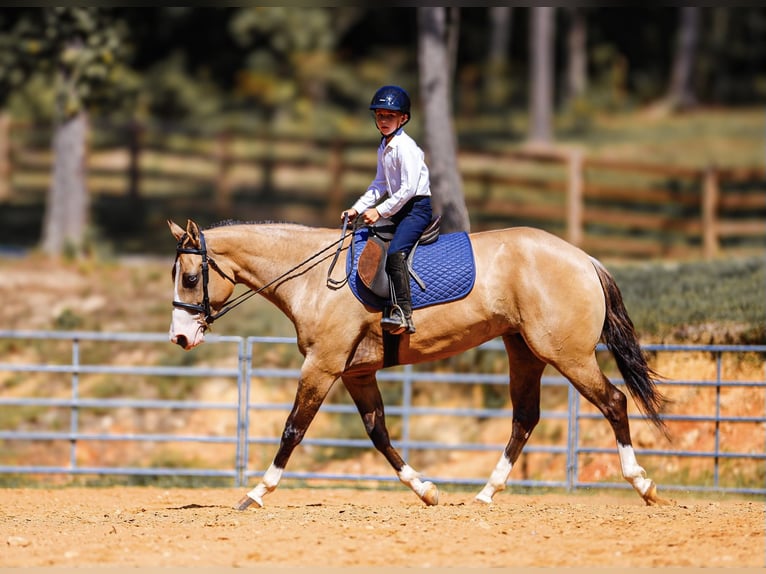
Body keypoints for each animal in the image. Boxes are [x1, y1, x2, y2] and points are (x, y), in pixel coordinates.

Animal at [167, 218, 671, 509]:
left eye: (190, 278)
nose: (180, 337)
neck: (312, 278)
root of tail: (583, 258)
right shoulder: (356, 373)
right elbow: (379, 434)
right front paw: (425, 490)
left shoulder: (323, 366)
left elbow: (294, 428)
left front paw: (256, 493)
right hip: (524, 352)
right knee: (525, 418)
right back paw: (486, 493)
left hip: (566, 354)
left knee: (614, 402)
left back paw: (642, 485)